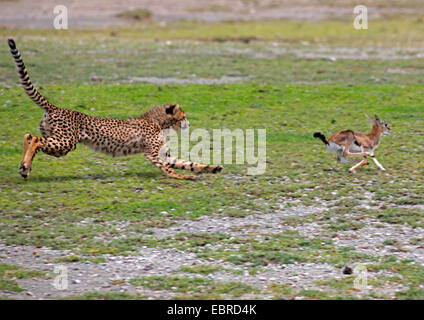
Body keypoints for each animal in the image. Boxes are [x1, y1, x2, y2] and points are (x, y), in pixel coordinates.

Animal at [8, 38, 224, 179]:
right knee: (33, 139)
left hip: (58, 140)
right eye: (183, 116)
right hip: (65, 142)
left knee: (30, 137)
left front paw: (212, 168)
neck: (159, 123)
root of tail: (57, 107)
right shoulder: (153, 154)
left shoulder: (164, 154)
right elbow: (169, 168)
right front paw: (181, 177)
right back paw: (25, 165)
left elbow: (188, 163)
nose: (189, 123)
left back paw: (24, 168)